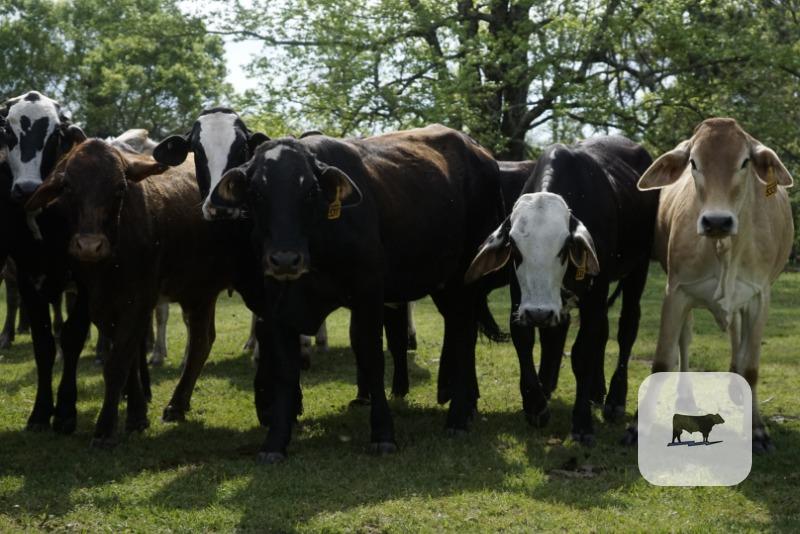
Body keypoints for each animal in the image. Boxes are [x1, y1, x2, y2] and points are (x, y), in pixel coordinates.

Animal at [0, 91, 93, 434]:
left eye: (54, 135)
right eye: (8, 131)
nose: (26, 188)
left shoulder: (86, 281)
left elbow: (72, 337)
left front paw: (65, 411)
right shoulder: (28, 279)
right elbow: (43, 345)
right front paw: (41, 411)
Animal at [25, 138, 248, 446]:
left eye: (119, 187)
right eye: (68, 186)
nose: (89, 246)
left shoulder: (139, 300)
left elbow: (118, 363)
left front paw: (106, 429)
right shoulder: (100, 306)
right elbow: (128, 358)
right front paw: (136, 415)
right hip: (199, 291)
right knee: (202, 340)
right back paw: (177, 404)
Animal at [205, 124, 505, 462]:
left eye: (311, 192)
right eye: (257, 193)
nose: (285, 259)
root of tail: (479, 151)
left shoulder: (369, 295)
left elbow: (372, 358)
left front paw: (383, 433)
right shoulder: (278, 305)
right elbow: (284, 369)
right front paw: (275, 442)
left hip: (464, 278)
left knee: (465, 338)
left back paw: (457, 417)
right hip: (445, 283)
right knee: (458, 330)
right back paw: (461, 403)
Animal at [466, 136, 657, 444]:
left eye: (565, 246)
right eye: (515, 247)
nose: (539, 313)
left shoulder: (595, 291)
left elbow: (582, 353)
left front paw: (582, 423)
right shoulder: (520, 297)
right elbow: (524, 340)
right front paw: (535, 403)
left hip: (638, 269)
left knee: (626, 329)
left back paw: (615, 399)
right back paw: (592, 390)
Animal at [623, 118, 793, 453]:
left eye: (744, 162)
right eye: (693, 162)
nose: (717, 221)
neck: (724, 248)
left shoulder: (759, 297)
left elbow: (751, 367)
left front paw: (758, 430)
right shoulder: (676, 291)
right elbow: (662, 360)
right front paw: (637, 426)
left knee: (737, 338)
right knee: (686, 340)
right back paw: (686, 394)